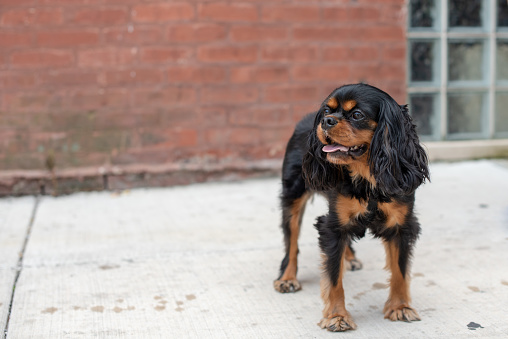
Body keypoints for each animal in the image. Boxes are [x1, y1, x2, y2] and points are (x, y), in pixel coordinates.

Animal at [274, 83, 428, 334]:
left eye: (357, 115)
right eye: (328, 110)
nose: (326, 121)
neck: (367, 178)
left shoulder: (402, 226)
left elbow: (400, 270)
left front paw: (400, 307)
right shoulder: (332, 227)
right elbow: (334, 277)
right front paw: (337, 317)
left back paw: (350, 258)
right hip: (293, 195)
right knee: (292, 241)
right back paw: (287, 278)